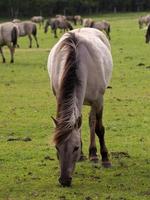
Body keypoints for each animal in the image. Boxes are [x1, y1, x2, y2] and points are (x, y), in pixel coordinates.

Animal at [47, 27, 113, 187]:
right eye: (57, 147)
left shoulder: (98, 100)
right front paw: (83, 154)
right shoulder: (59, 97)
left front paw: (104, 158)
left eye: (75, 148)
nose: (64, 180)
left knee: (92, 122)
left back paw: (94, 154)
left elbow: (98, 128)